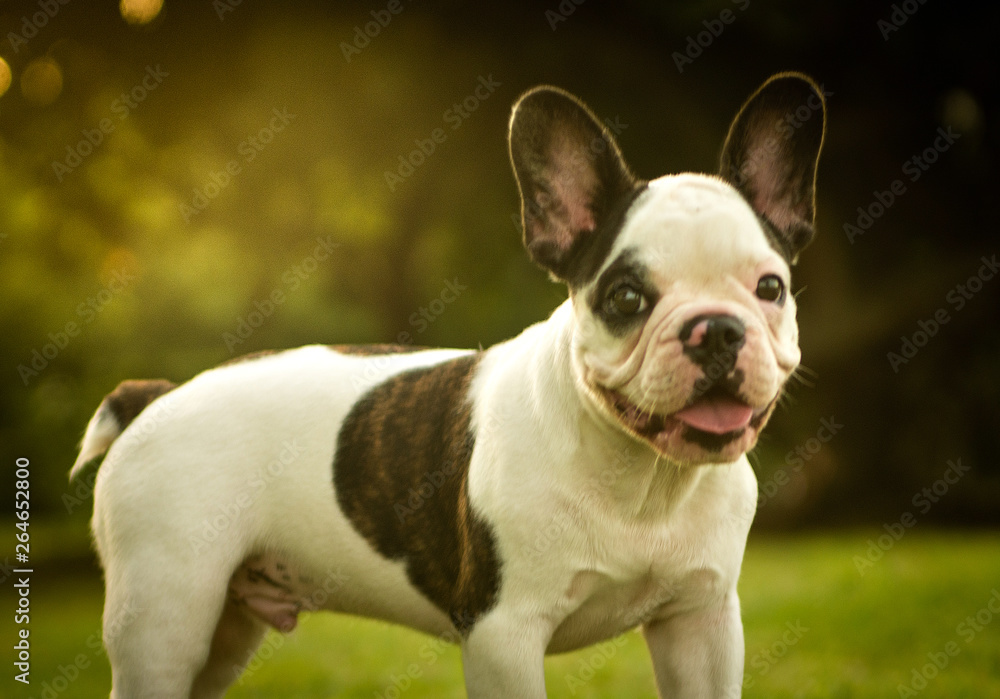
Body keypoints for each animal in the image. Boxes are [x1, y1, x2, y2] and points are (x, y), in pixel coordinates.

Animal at [68, 72, 820, 699]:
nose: (716, 329)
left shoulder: (702, 622)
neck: (643, 482)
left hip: (223, 625)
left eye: (770, 288)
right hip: (166, 613)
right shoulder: (503, 636)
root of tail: (157, 396)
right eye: (627, 297)